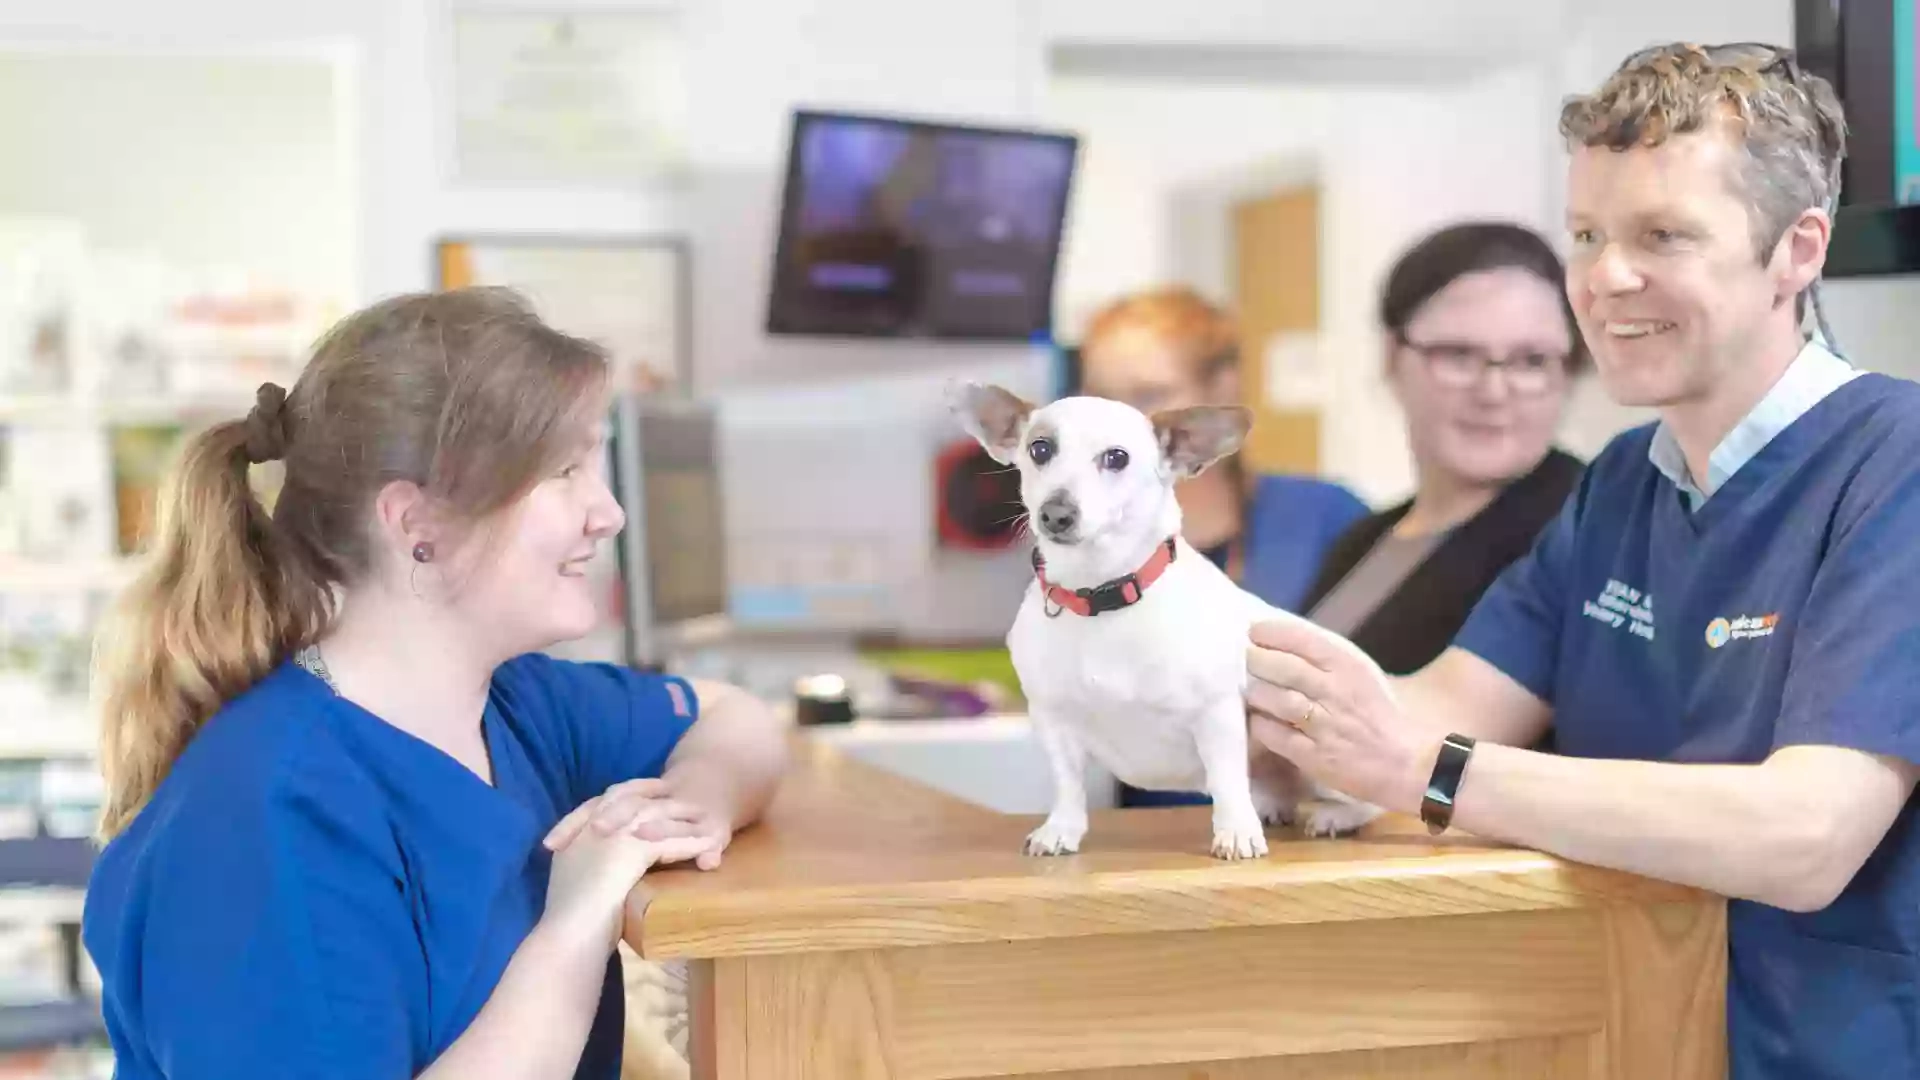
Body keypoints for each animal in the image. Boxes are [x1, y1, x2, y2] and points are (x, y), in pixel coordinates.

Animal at [948, 382, 1382, 853]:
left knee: (1366, 802)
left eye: (1116, 458)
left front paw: (1235, 831)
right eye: (1039, 449)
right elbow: (1068, 784)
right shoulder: (1053, 719)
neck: (1100, 595)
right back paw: (1272, 807)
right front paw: (1061, 828)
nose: (1056, 513)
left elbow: (1227, 779)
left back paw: (1332, 815)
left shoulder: (1217, 715)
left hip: (1324, 759)